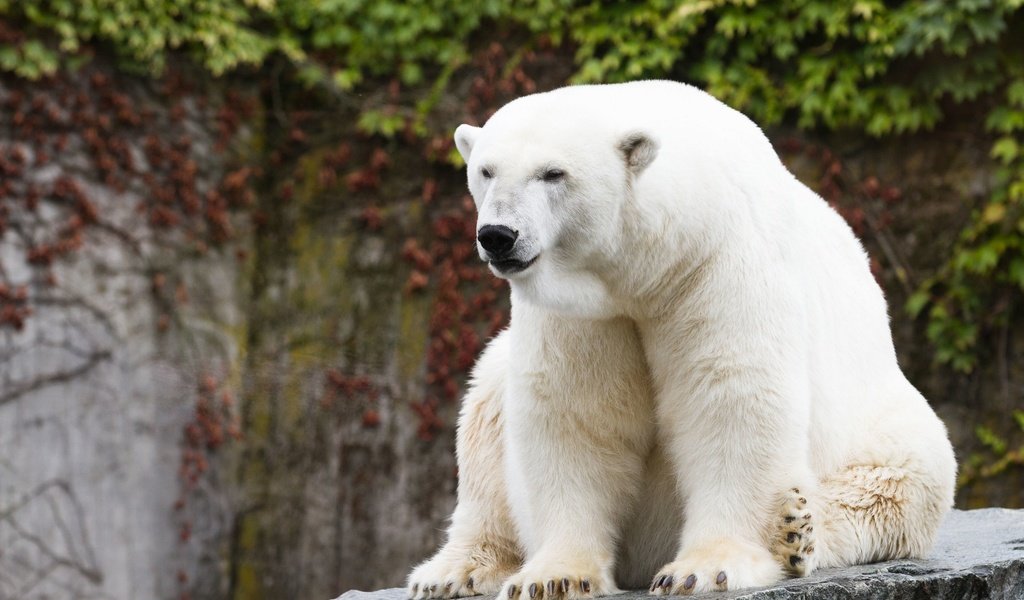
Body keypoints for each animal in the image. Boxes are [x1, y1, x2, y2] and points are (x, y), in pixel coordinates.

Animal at [405, 80, 950, 597]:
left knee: (897, 483)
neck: (652, 261)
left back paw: (795, 530)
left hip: (881, 426)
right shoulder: (585, 311)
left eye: (553, 173)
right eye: (486, 171)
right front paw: (555, 577)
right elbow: (576, 410)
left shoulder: (717, 260)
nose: (498, 235)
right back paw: (453, 571)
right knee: (487, 407)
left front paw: (705, 569)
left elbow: (730, 393)